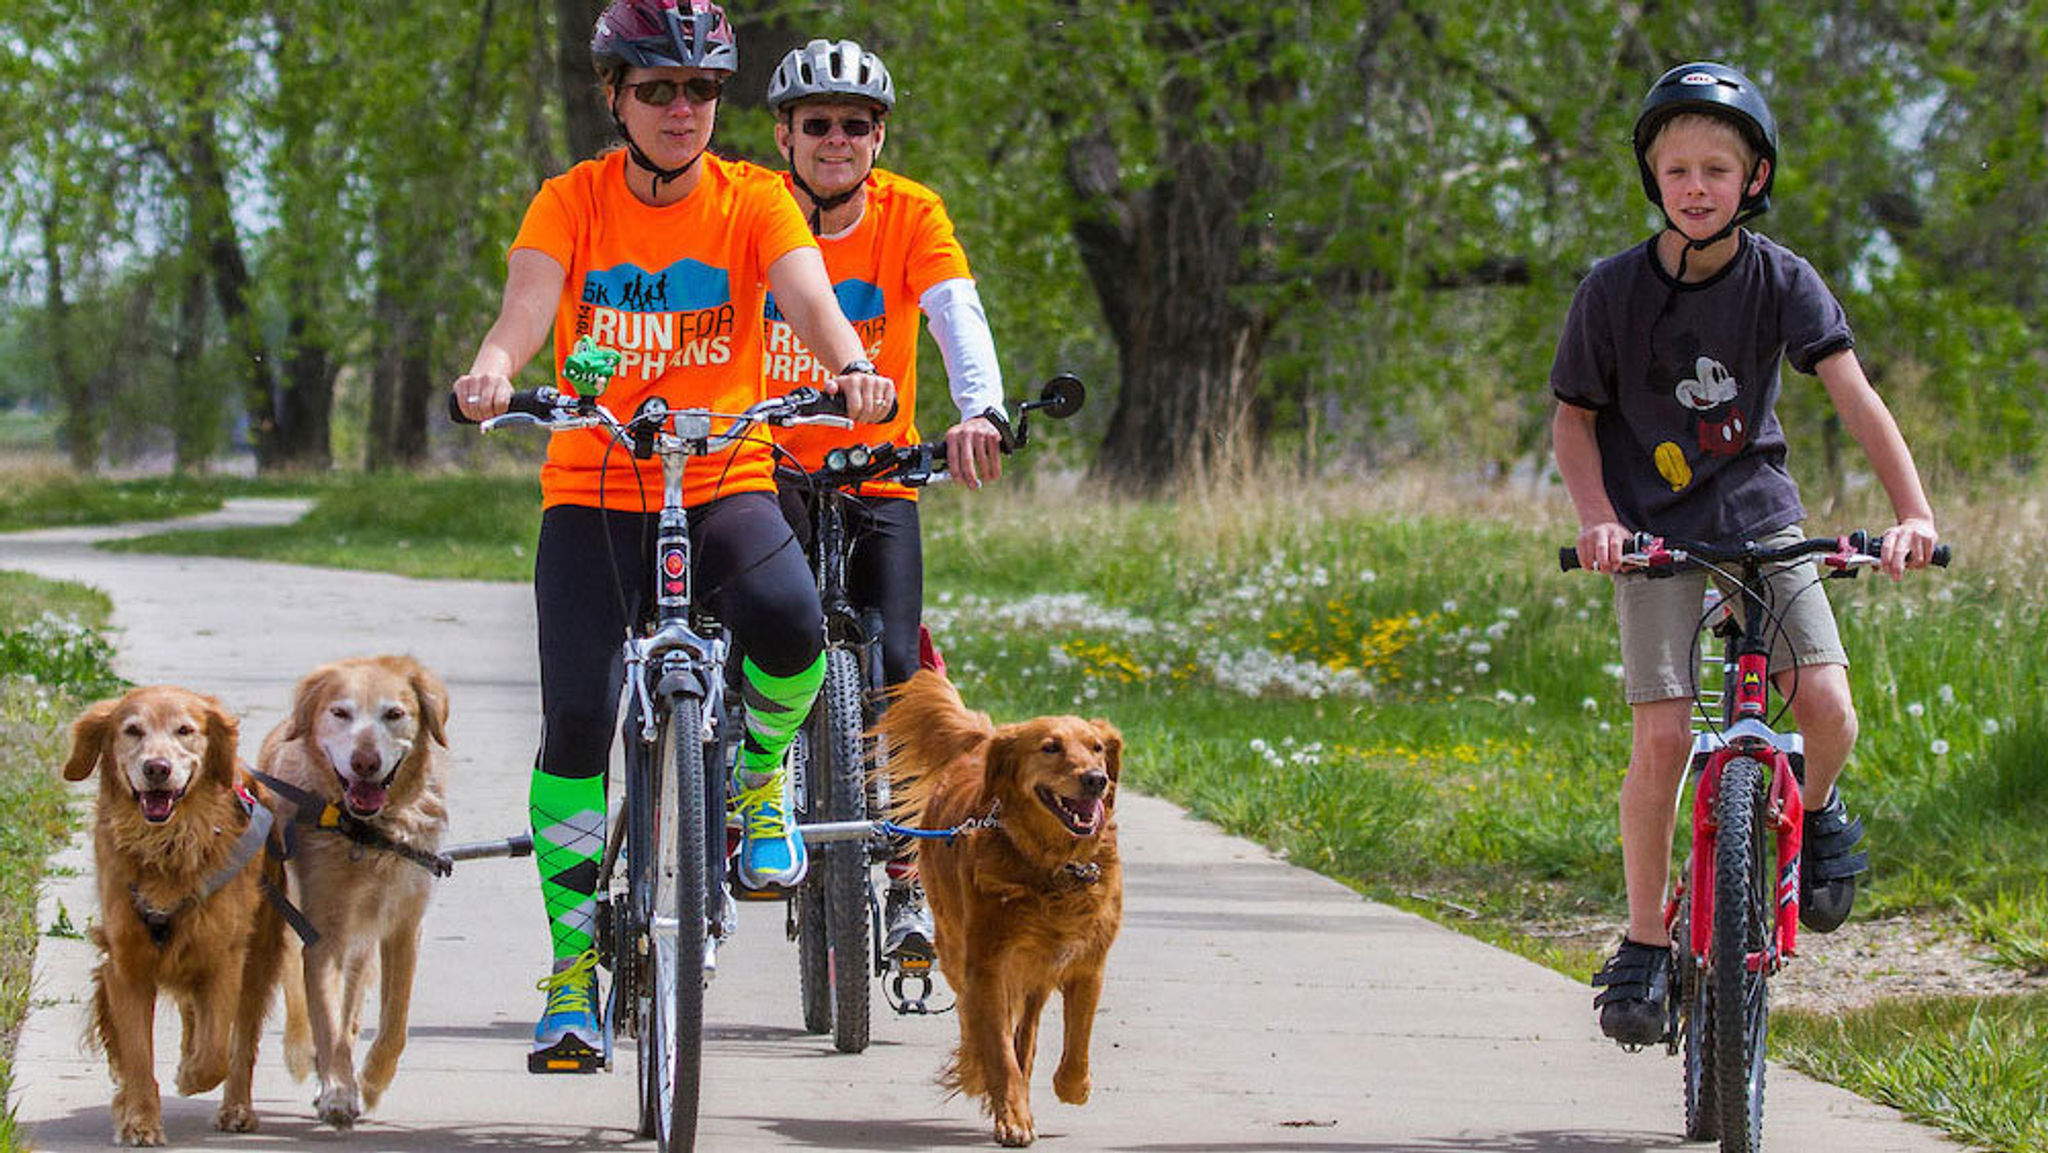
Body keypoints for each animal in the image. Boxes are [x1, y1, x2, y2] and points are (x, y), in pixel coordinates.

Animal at [67, 684, 286, 1146]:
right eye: (132, 730)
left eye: (185, 730)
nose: (157, 768)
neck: (168, 846)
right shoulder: (126, 964)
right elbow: (136, 1055)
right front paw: (138, 1120)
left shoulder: (224, 957)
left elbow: (216, 1052)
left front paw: (189, 1075)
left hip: (259, 956)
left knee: (241, 1040)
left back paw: (237, 1108)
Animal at [258, 655, 450, 1130]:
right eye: (340, 713)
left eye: (394, 714)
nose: (365, 761)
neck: (367, 832)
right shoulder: (321, 932)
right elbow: (324, 1021)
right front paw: (338, 1092)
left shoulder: (403, 926)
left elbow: (394, 1021)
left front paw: (373, 1081)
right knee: (300, 997)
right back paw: (301, 1053)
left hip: (361, 944)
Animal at [868, 671, 1122, 1146]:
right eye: (1050, 747)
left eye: (1097, 747)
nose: (1096, 779)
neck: (1050, 866)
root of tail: (984, 743)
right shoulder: (986, 964)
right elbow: (998, 1051)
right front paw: (1012, 1116)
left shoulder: (1087, 964)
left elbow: (1077, 1039)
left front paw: (1072, 1086)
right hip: (954, 947)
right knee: (977, 1018)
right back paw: (978, 1067)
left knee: (1028, 1031)